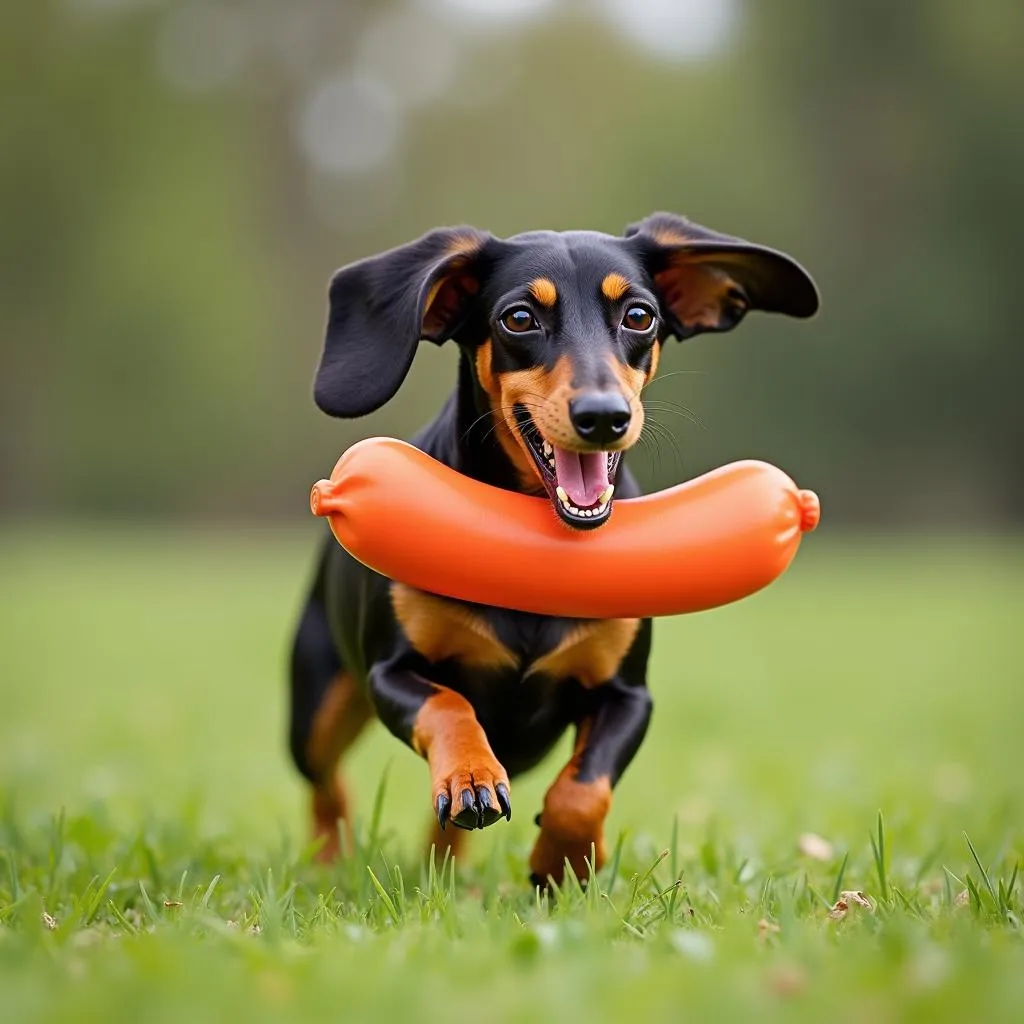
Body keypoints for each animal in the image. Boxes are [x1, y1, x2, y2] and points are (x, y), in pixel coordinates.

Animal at [286, 211, 815, 884]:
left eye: (639, 315)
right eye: (519, 318)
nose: (604, 416)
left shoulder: (627, 695)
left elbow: (583, 790)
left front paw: (563, 860)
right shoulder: (391, 673)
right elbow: (449, 706)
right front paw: (472, 775)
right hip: (316, 709)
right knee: (326, 783)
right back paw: (332, 856)